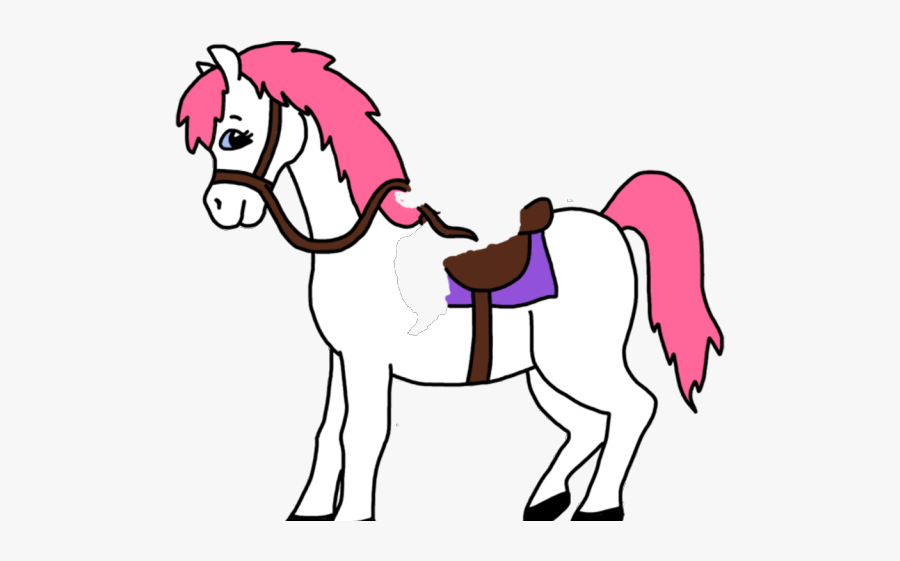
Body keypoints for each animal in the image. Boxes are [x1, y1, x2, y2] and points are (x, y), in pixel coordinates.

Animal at [176, 42, 724, 521]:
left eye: (236, 135)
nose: (221, 206)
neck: (360, 245)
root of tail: (610, 223)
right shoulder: (341, 358)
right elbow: (328, 432)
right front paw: (308, 512)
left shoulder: (368, 361)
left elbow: (363, 434)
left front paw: (354, 517)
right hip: (545, 372)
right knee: (589, 426)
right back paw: (545, 501)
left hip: (578, 360)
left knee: (634, 407)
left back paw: (598, 507)